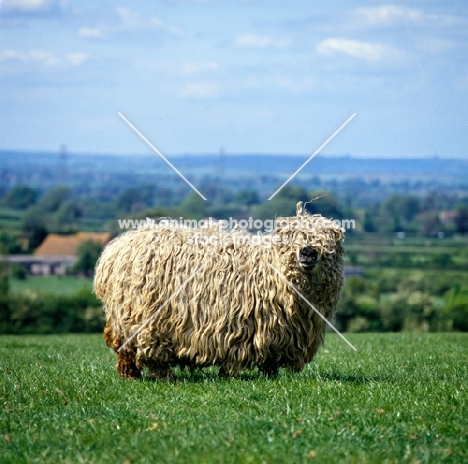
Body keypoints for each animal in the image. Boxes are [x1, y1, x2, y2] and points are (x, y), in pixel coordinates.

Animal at [94, 203, 344, 380]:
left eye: (327, 242)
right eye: (290, 238)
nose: (308, 252)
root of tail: (115, 251)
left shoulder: (276, 332)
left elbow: (270, 361)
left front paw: (270, 375)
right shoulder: (243, 326)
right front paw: (229, 374)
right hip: (145, 319)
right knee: (146, 353)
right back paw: (164, 376)